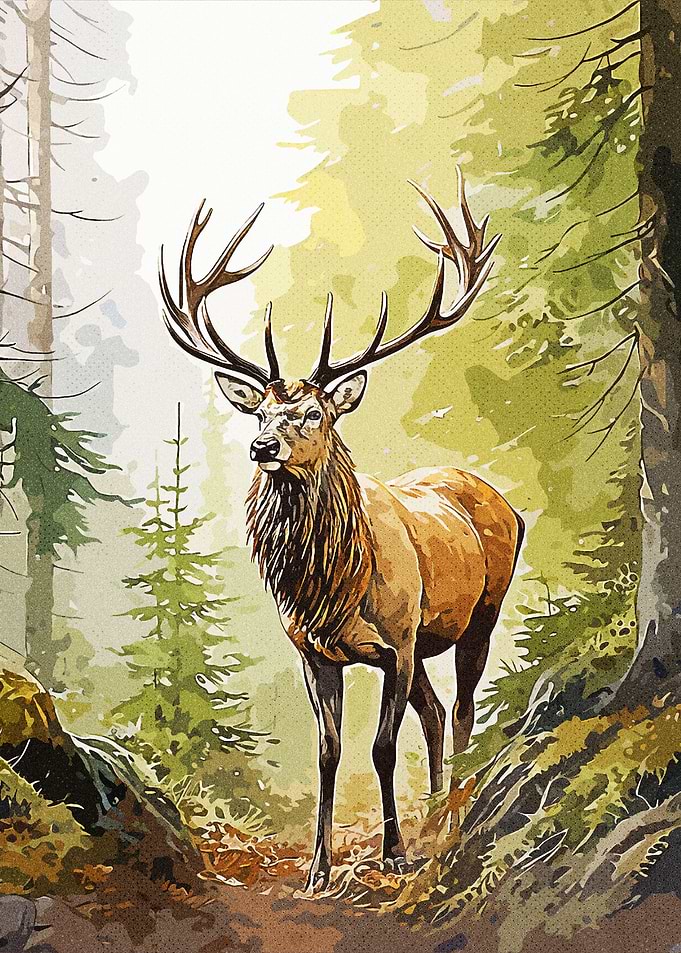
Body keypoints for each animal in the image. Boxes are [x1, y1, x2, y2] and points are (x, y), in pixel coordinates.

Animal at [158, 169, 524, 892]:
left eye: (312, 413)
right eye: (260, 412)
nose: (262, 447)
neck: (331, 586)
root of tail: (507, 504)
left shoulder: (396, 640)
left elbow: (380, 747)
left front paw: (393, 854)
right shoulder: (315, 650)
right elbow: (328, 751)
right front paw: (318, 867)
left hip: (479, 611)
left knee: (462, 709)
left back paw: (448, 819)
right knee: (434, 712)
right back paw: (433, 811)